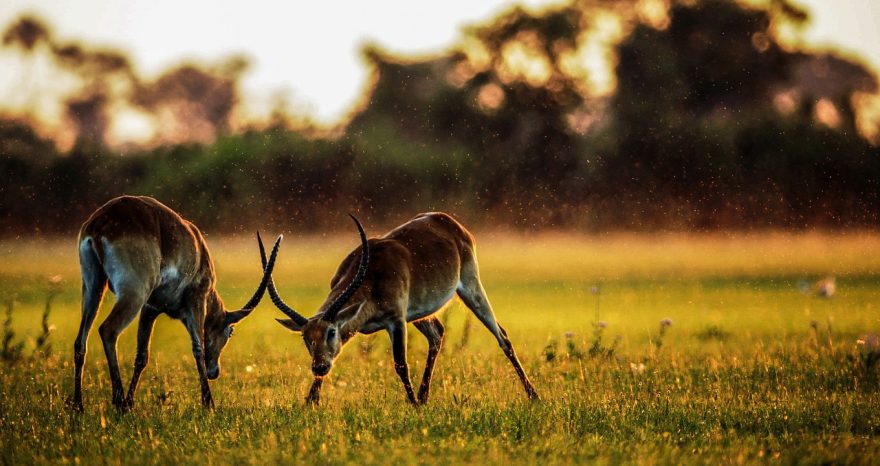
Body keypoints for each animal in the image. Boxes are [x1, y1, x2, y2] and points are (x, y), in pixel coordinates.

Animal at [75, 195, 284, 410]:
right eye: (230, 332)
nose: (214, 371)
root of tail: (100, 223)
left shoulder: (150, 308)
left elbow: (142, 356)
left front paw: (130, 402)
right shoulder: (196, 299)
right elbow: (198, 347)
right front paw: (209, 403)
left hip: (93, 287)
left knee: (80, 342)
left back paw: (79, 405)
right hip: (134, 293)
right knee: (108, 330)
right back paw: (118, 402)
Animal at [260, 213, 536, 406]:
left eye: (331, 332)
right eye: (306, 338)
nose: (318, 367)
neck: (372, 275)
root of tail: (450, 222)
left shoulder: (397, 319)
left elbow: (401, 364)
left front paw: (411, 404)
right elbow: (336, 358)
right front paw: (310, 401)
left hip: (471, 287)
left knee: (502, 336)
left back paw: (533, 395)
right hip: (421, 313)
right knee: (437, 333)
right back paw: (424, 397)